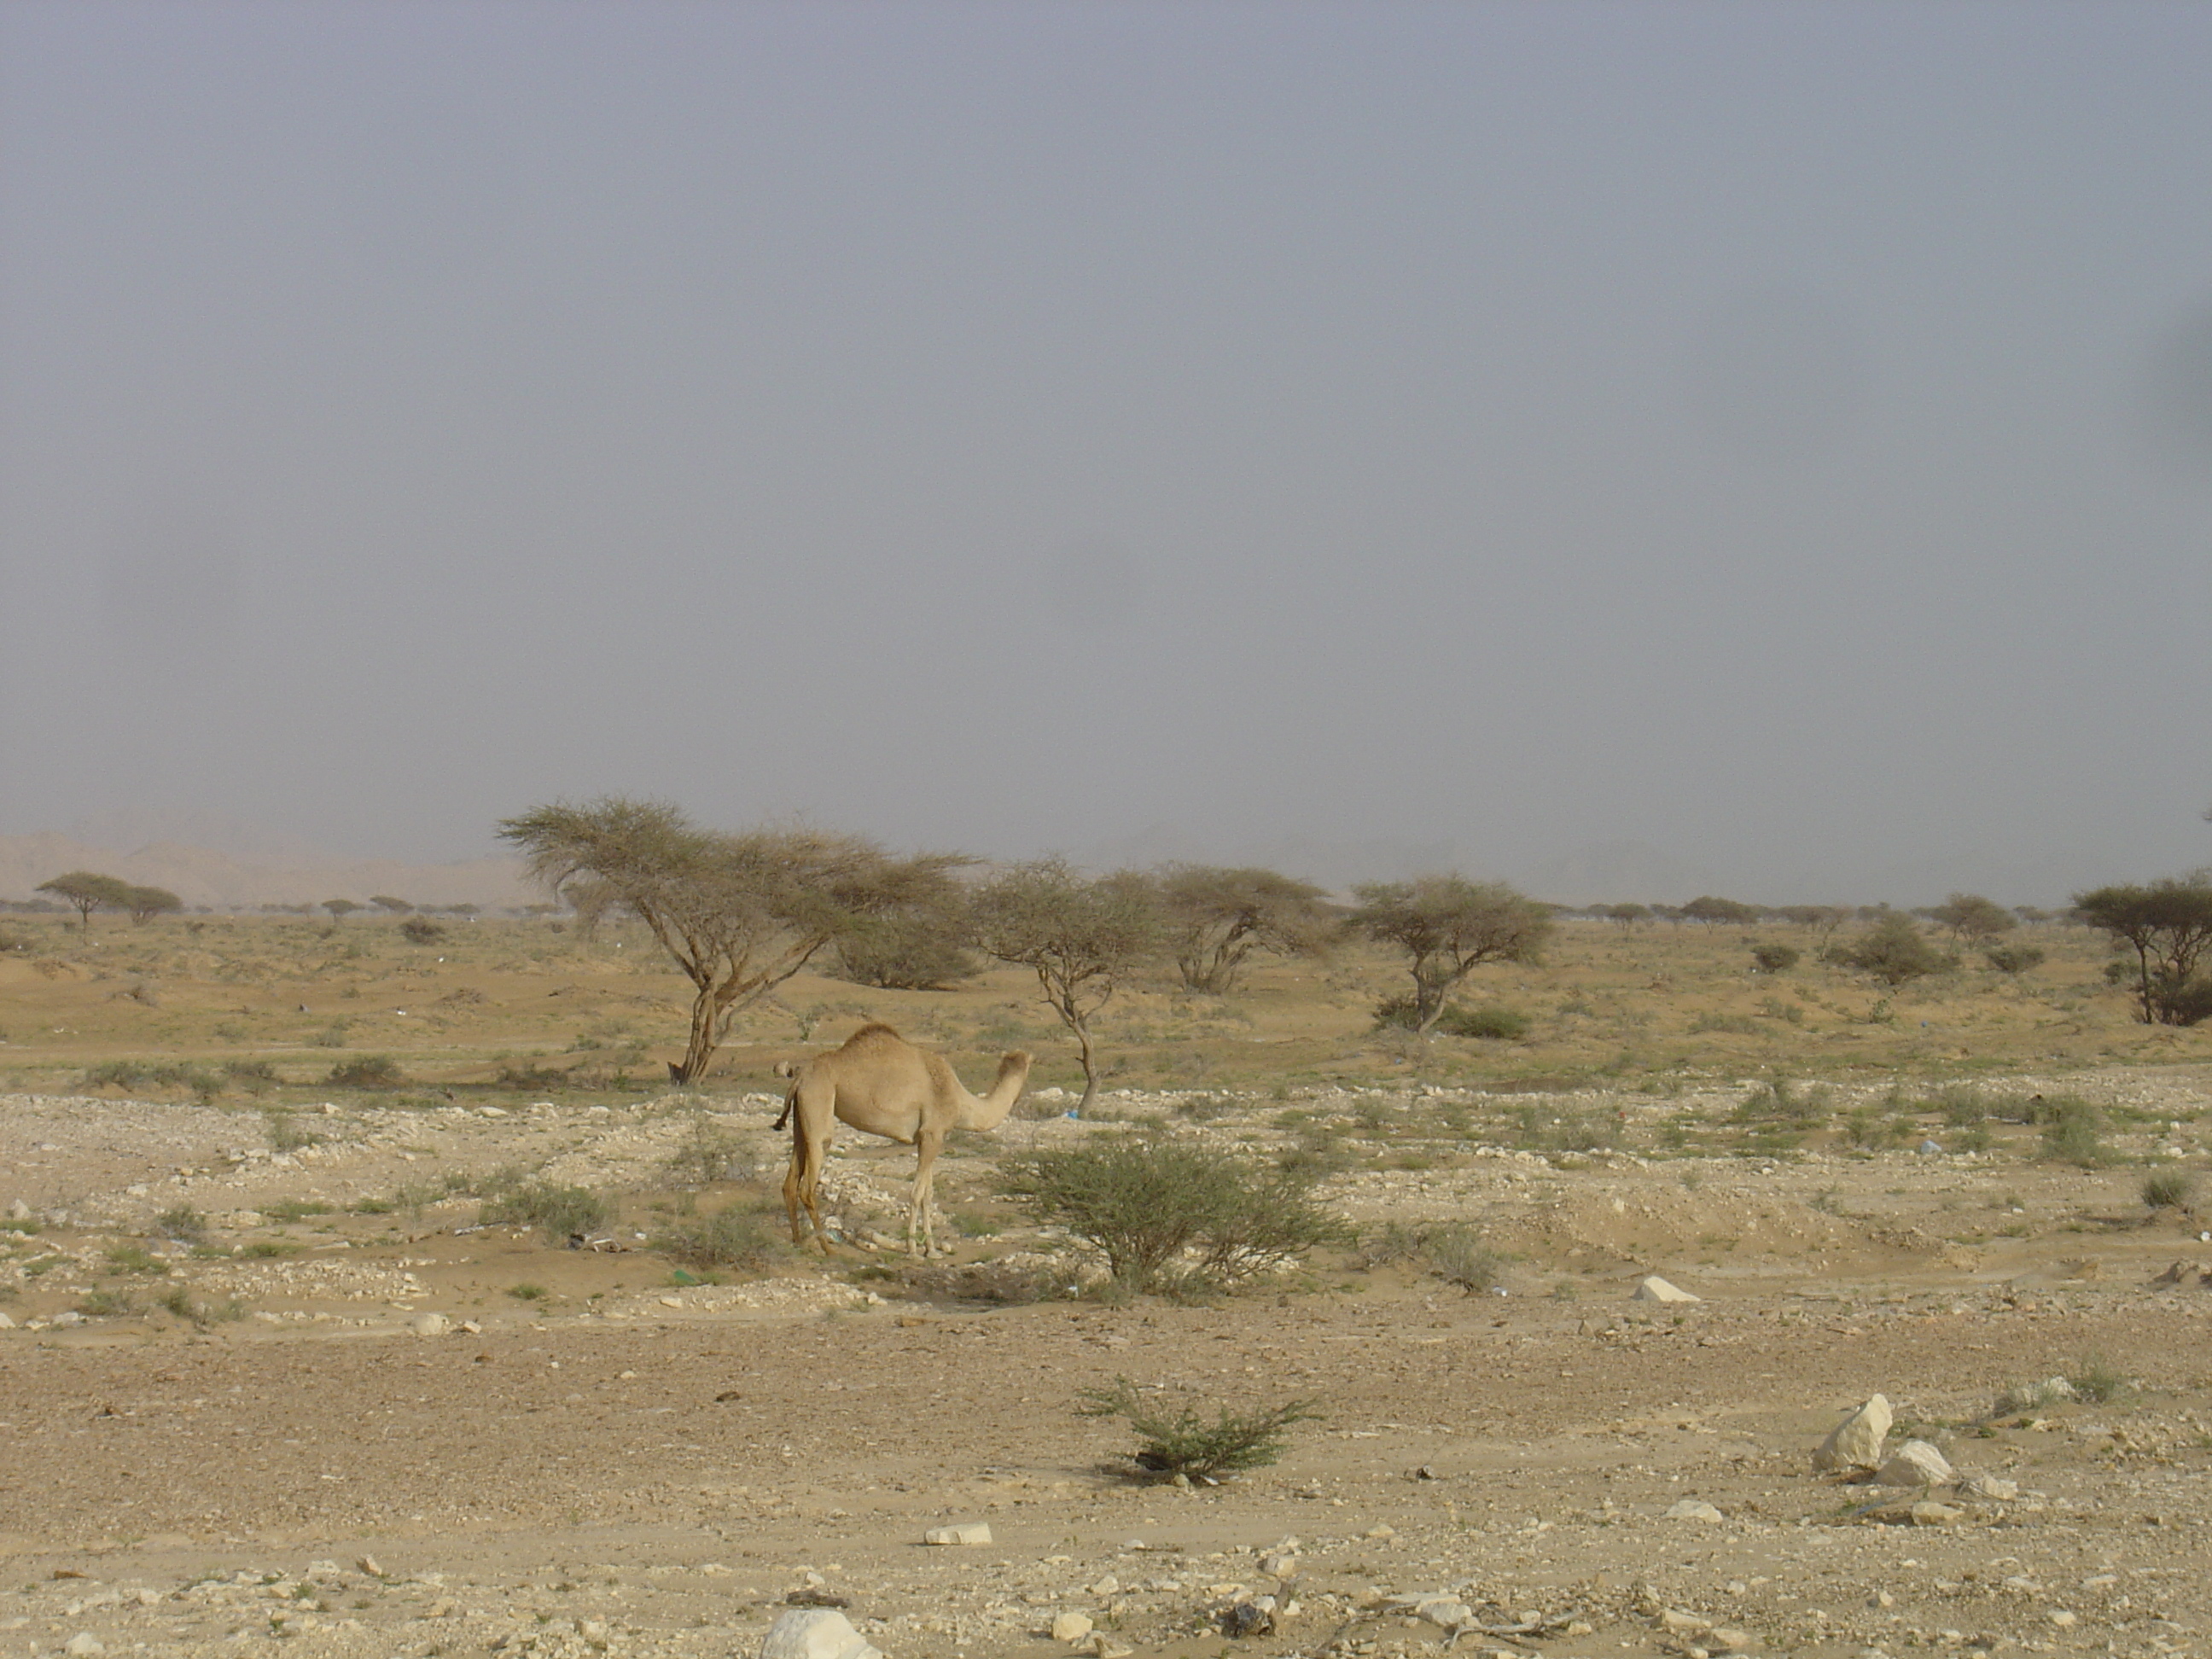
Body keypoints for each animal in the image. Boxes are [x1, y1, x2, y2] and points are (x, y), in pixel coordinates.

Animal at [774, 1026, 1030, 1256]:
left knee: (790, 1182)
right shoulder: (932, 1134)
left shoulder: (930, 1138)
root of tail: (800, 1078)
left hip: (801, 1118)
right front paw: (913, 1249)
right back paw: (827, 1248)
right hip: (819, 1104)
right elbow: (916, 1194)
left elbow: (928, 1194)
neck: (961, 1103)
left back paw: (798, 1241)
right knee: (808, 1185)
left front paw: (932, 1250)